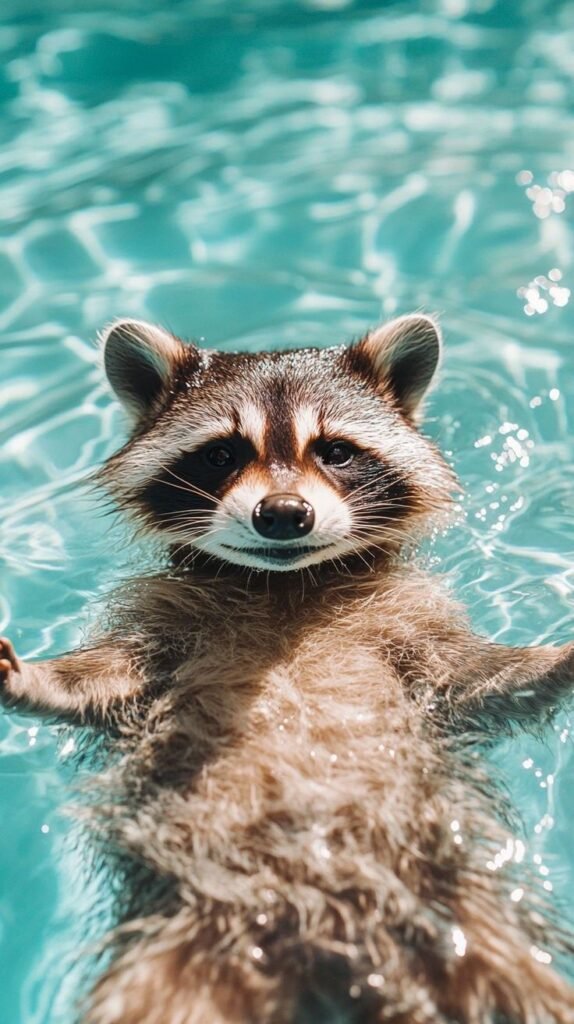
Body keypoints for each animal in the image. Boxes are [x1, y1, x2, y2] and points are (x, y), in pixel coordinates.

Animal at [1, 313, 574, 1024]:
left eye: (335, 451)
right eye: (222, 453)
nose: (282, 514)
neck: (285, 587)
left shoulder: (411, 625)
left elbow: (475, 678)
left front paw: (552, 662)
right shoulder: (164, 625)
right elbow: (102, 682)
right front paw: (34, 678)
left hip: (467, 921)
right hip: (179, 946)